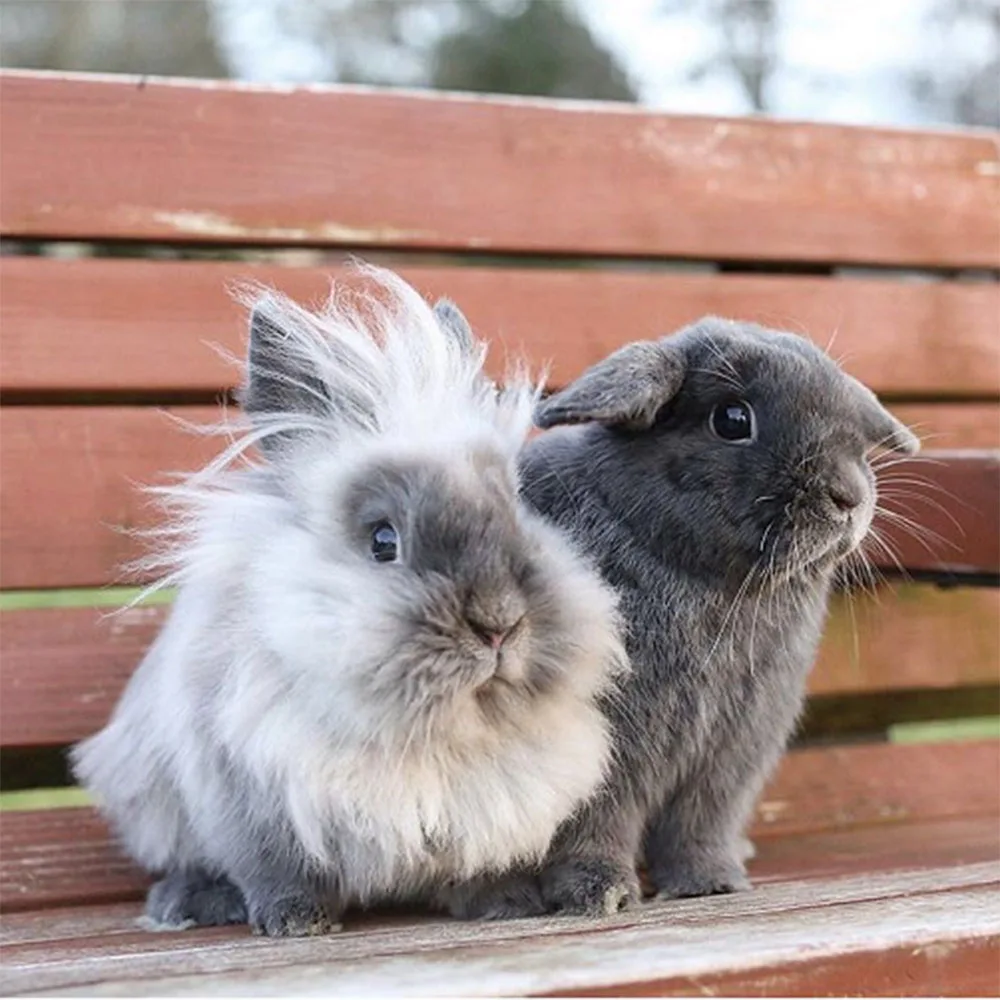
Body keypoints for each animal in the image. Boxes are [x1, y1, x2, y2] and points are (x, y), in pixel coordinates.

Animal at [71, 267, 627, 936]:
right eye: (383, 541)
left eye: (518, 509)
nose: (499, 625)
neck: (429, 733)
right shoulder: (250, 803)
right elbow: (273, 872)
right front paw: (294, 922)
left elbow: (477, 867)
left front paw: (506, 904)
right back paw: (188, 903)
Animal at [501, 316, 919, 917]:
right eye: (732, 420)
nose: (849, 496)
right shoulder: (599, 754)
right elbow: (592, 827)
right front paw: (600, 894)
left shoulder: (733, 752)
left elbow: (700, 826)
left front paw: (711, 883)